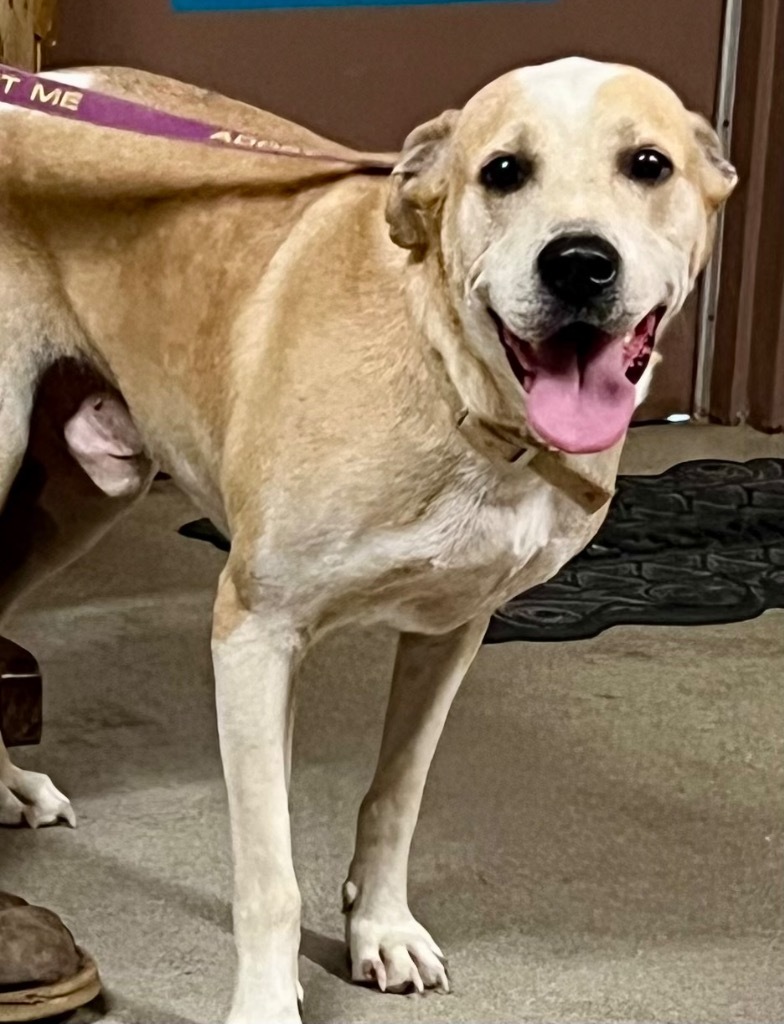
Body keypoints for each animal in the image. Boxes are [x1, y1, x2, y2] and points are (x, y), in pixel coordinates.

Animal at [0, 58, 736, 1024]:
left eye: (648, 164)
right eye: (503, 171)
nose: (580, 264)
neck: (461, 396)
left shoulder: (449, 633)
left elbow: (396, 795)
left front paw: (380, 930)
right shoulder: (256, 630)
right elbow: (269, 871)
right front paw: (268, 1002)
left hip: (73, 502)